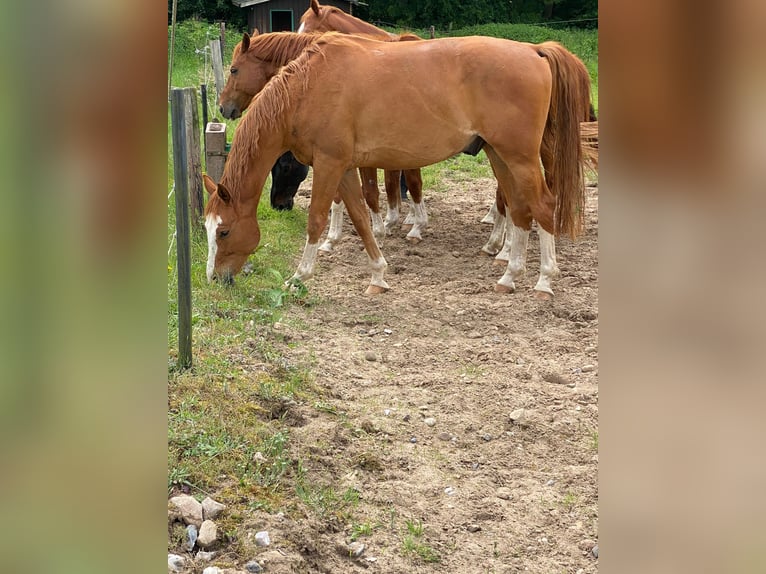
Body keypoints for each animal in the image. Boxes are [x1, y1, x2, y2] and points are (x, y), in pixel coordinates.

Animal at [202, 32, 588, 296]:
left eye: (224, 231)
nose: (215, 278)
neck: (307, 88)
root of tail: (533, 50)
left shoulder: (328, 164)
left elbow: (318, 219)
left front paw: (300, 276)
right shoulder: (343, 167)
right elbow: (360, 216)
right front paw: (378, 274)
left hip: (521, 157)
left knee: (543, 206)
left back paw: (544, 280)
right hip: (499, 155)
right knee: (519, 209)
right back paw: (509, 274)